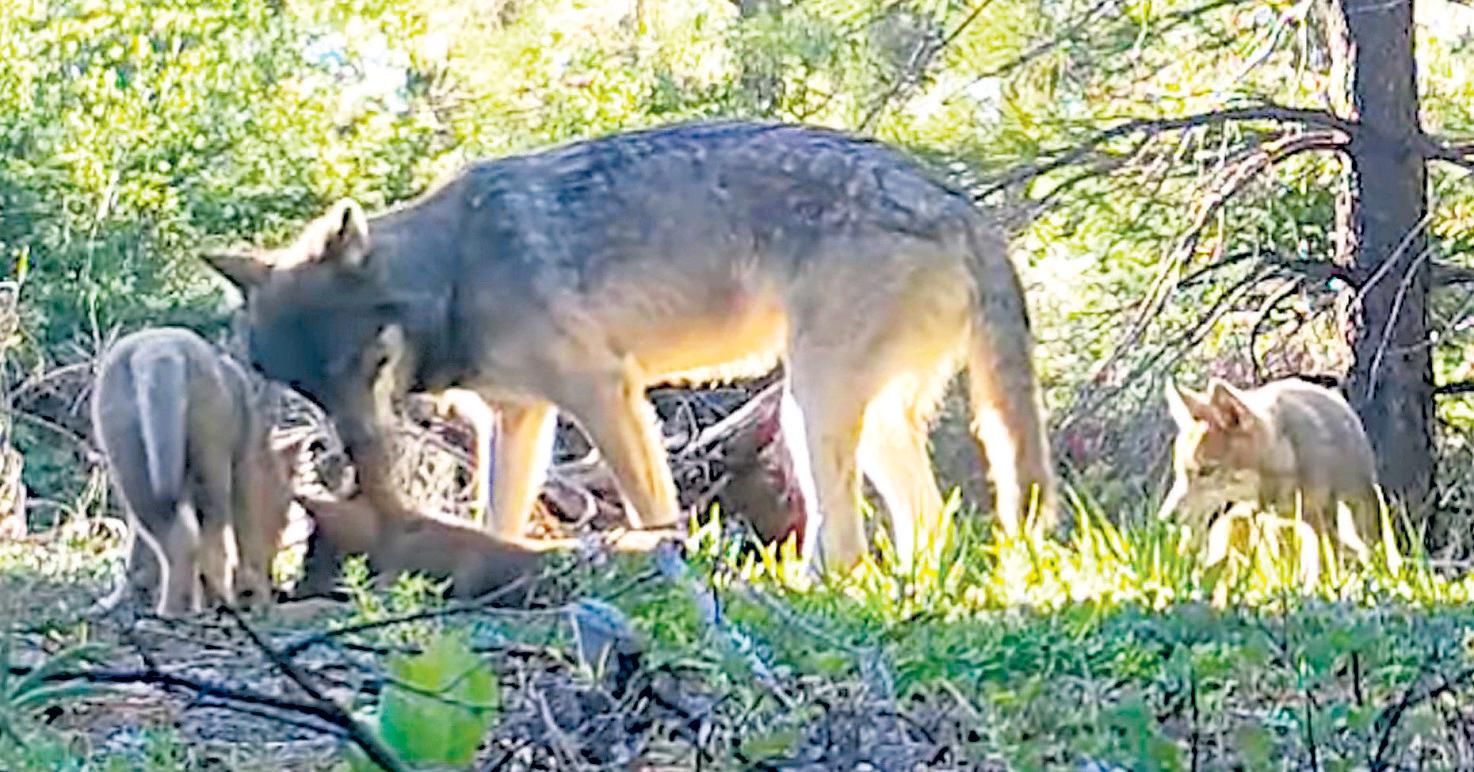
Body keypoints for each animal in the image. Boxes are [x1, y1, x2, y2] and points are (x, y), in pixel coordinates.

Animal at [91, 327, 295, 617]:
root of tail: (158, 351)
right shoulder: (243, 473)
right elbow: (247, 539)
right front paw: (257, 596)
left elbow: (137, 549)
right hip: (210, 459)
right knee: (210, 539)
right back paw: (212, 601)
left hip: (131, 460)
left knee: (176, 539)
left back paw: (169, 608)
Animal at [201, 120, 1056, 572]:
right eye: (308, 389)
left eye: (361, 365)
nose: (359, 455)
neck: (454, 272)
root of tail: (962, 205)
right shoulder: (516, 419)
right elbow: (498, 515)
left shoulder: (604, 392)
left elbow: (652, 503)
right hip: (861, 421)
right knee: (929, 524)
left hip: (808, 409)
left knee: (847, 542)